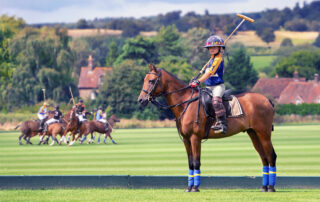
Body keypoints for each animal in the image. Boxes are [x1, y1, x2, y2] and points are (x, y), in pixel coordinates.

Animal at [138, 66, 278, 193]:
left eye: (151, 81)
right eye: (144, 79)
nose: (141, 100)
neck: (185, 102)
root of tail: (267, 100)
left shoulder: (195, 138)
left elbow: (196, 162)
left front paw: (195, 188)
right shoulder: (186, 139)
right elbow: (190, 162)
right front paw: (189, 187)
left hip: (264, 133)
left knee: (271, 156)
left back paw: (271, 187)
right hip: (253, 133)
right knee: (264, 157)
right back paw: (264, 187)